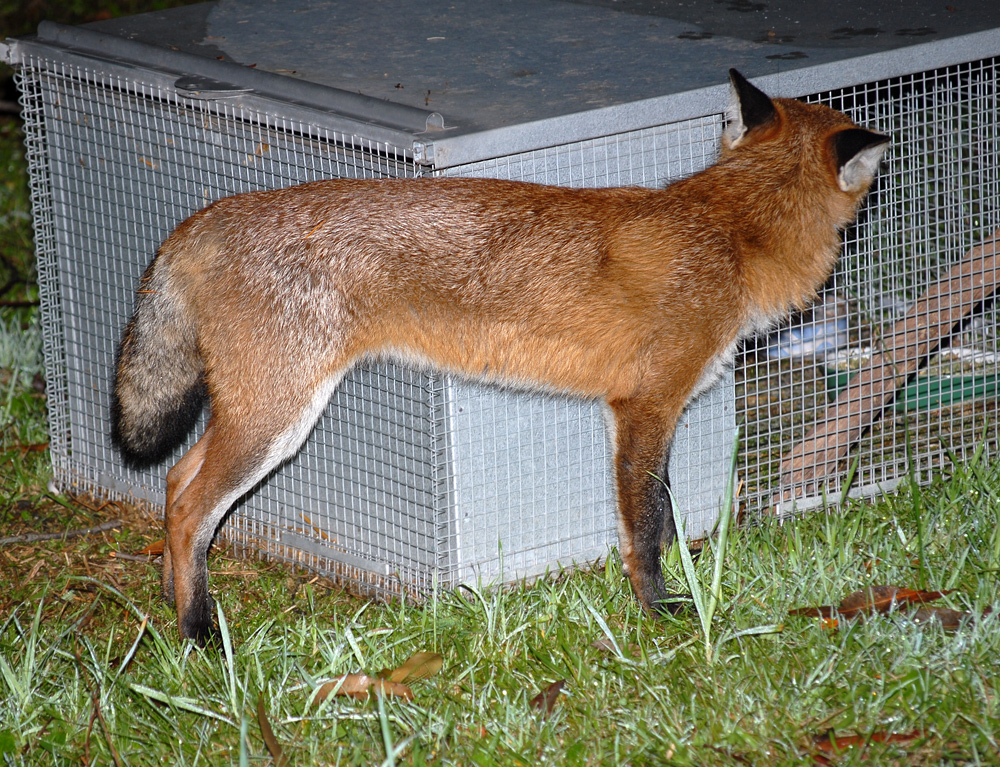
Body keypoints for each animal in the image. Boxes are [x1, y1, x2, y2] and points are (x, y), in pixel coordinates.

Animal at [111, 69, 888, 644]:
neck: (728, 230)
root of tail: (208, 216)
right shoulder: (646, 404)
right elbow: (645, 528)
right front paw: (662, 612)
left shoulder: (643, 412)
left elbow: (661, 516)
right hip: (276, 419)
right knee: (191, 508)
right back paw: (197, 632)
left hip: (255, 412)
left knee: (174, 481)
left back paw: (171, 599)